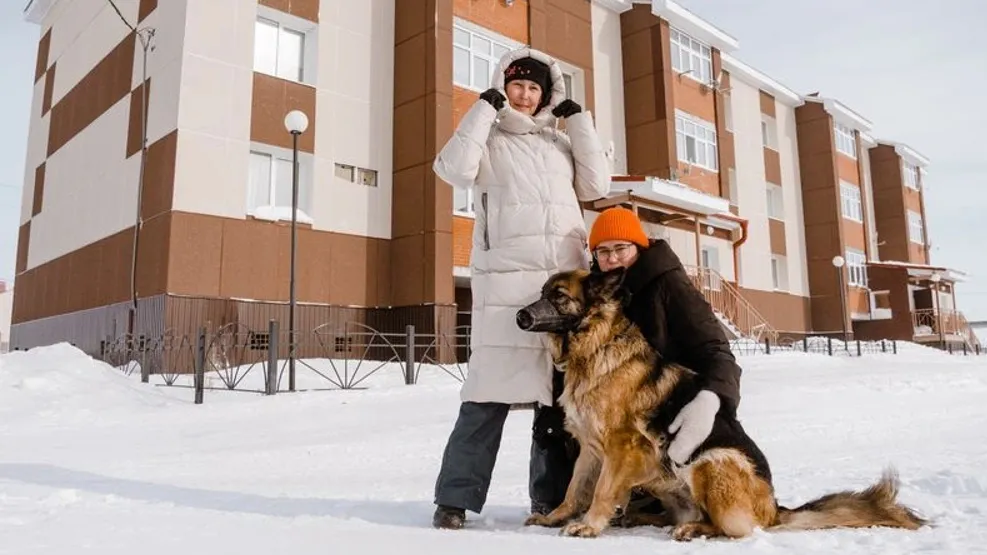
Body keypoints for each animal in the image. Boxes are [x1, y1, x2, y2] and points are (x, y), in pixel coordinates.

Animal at [512, 268, 932, 540]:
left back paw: (693, 528)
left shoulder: (622, 448)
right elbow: (575, 489)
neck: (595, 348)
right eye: (542, 292)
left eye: (559, 296)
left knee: (733, 529)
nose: (520, 315)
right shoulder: (591, 449)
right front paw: (556, 517)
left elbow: (600, 491)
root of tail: (775, 508)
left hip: (709, 462)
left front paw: (590, 524)